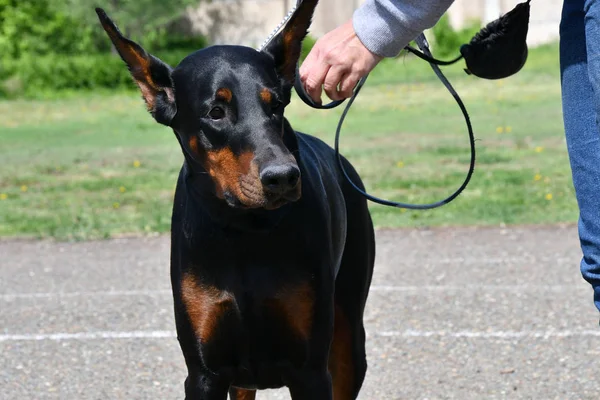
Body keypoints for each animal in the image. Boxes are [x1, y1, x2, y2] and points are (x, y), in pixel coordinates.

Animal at [95, 1, 372, 398]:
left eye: (276, 105)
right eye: (216, 111)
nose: (283, 177)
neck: (244, 231)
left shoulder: (311, 371)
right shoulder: (204, 373)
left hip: (349, 339)